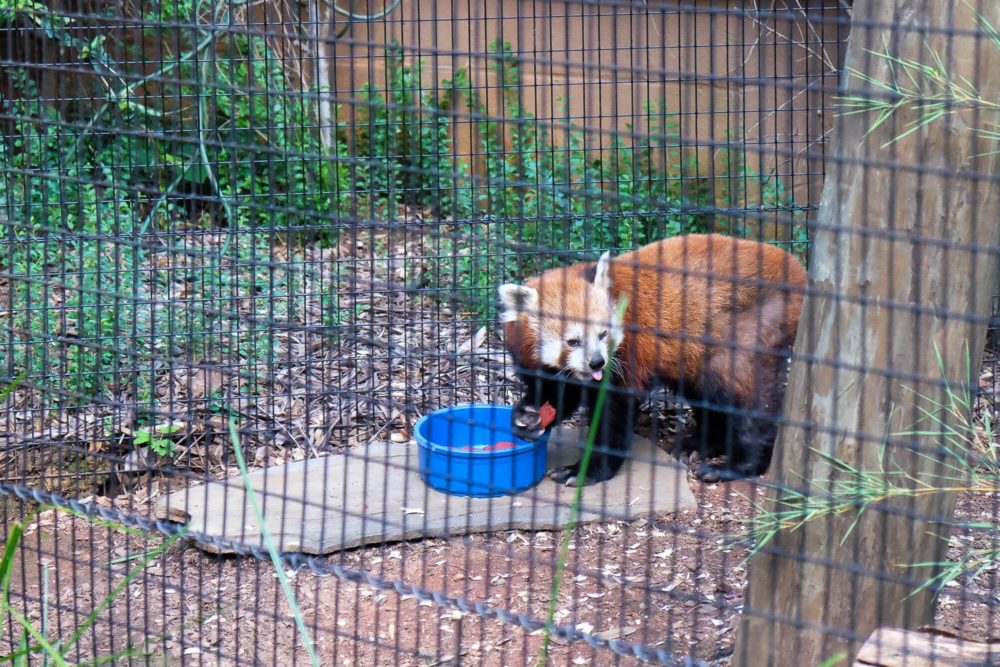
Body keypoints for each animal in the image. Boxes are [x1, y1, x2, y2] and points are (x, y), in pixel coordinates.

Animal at [498, 235, 804, 486]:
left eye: (603, 334)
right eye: (573, 341)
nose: (597, 362)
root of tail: (797, 273)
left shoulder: (626, 357)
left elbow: (614, 413)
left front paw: (586, 470)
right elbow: (558, 394)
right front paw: (527, 416)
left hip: (751, 329)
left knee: (746, 401)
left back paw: (739, 465)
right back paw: (701, 444)